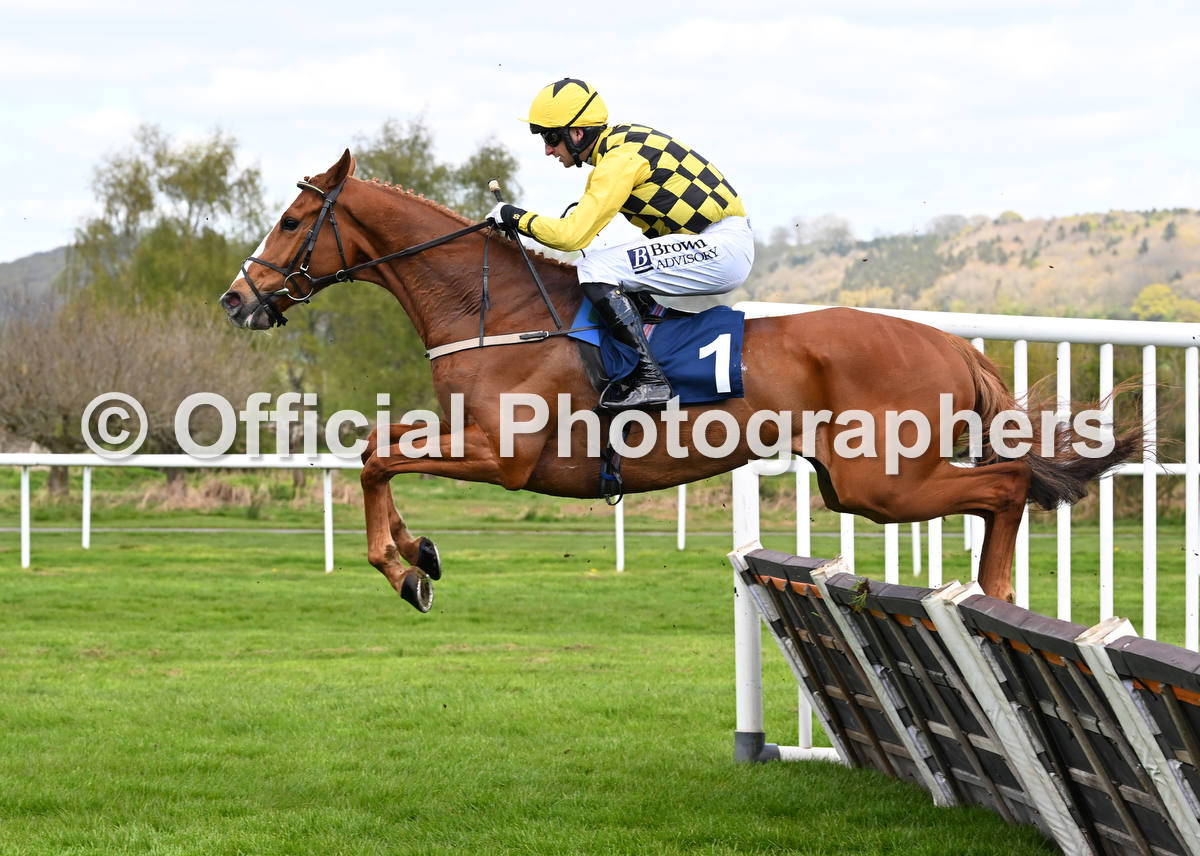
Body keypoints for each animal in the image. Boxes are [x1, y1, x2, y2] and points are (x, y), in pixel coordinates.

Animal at [218, 151, 1142, 607]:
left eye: (293, 221)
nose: (237, 298)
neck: (492, 306)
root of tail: (958, 346)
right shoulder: (469, 438)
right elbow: (378, 448)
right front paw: (419, 551)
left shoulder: (501, 455)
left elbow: (377, 454)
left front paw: (399, 566)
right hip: (859, 484)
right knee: (1002, 487)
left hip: (880, 480)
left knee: (1008, 484)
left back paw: (996, 594)